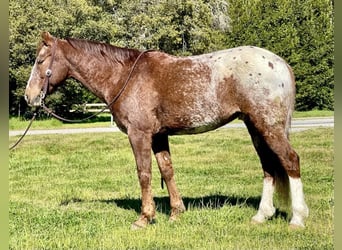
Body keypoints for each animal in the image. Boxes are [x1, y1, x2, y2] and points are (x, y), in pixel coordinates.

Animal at [22, 30, 308, 229]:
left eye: (40, 60)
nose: (29, 97)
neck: (124, 76)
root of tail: (280, 64)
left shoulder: (140, 135)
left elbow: (144, 173)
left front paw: (144, 217)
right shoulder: (159, 136)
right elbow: (167, 171)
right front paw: (176, 212)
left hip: (268, 126)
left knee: (290, 161)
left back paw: (297, 218)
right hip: (255, 127)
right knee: (269, 167)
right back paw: (261, 215)